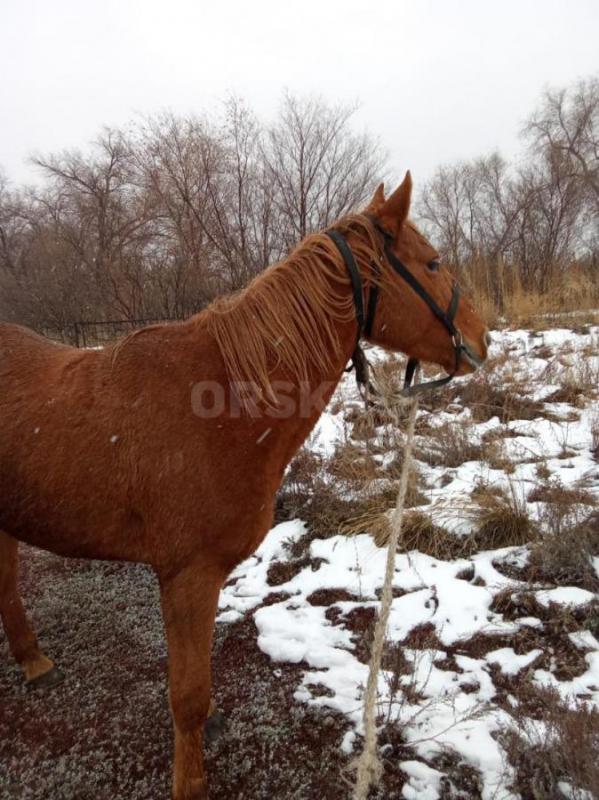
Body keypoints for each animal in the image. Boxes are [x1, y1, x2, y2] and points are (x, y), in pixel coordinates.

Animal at [0, 172, 488, 796]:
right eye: (432, 263)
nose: (482, 338)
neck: (225, 401)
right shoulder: (187, 575)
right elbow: (186, 695)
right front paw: (190, 782)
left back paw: (34, 661)